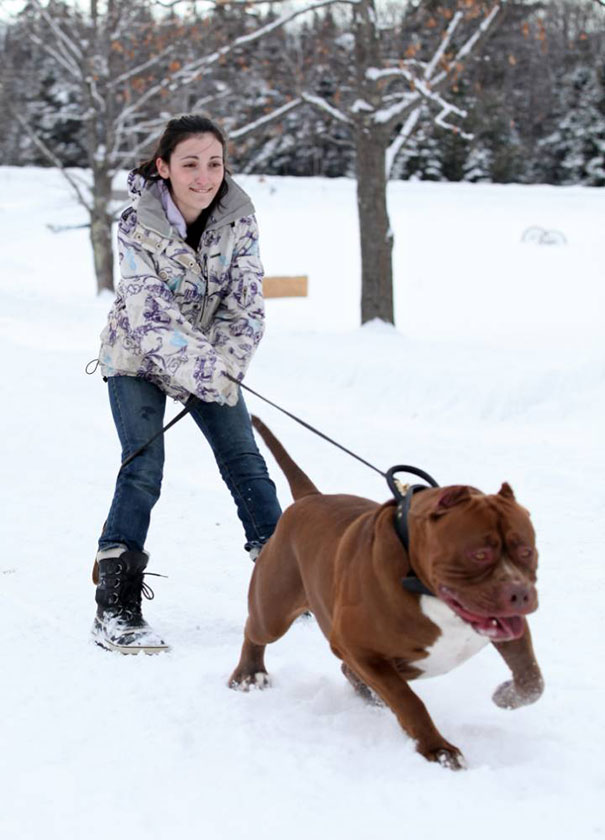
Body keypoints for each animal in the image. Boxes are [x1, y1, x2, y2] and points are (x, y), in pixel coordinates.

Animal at [230, 416, 544, 772]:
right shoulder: (358, 645)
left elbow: (532, 679)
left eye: (526, 550)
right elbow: (409, 701)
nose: (519, 593)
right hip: (274, 609)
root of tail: (309, 498)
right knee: (255, 631)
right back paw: (249, 674)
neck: (420, 581)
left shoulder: (508, 627)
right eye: (479, 554)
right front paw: (439, 749)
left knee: (357, 671)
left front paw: (505, 695)